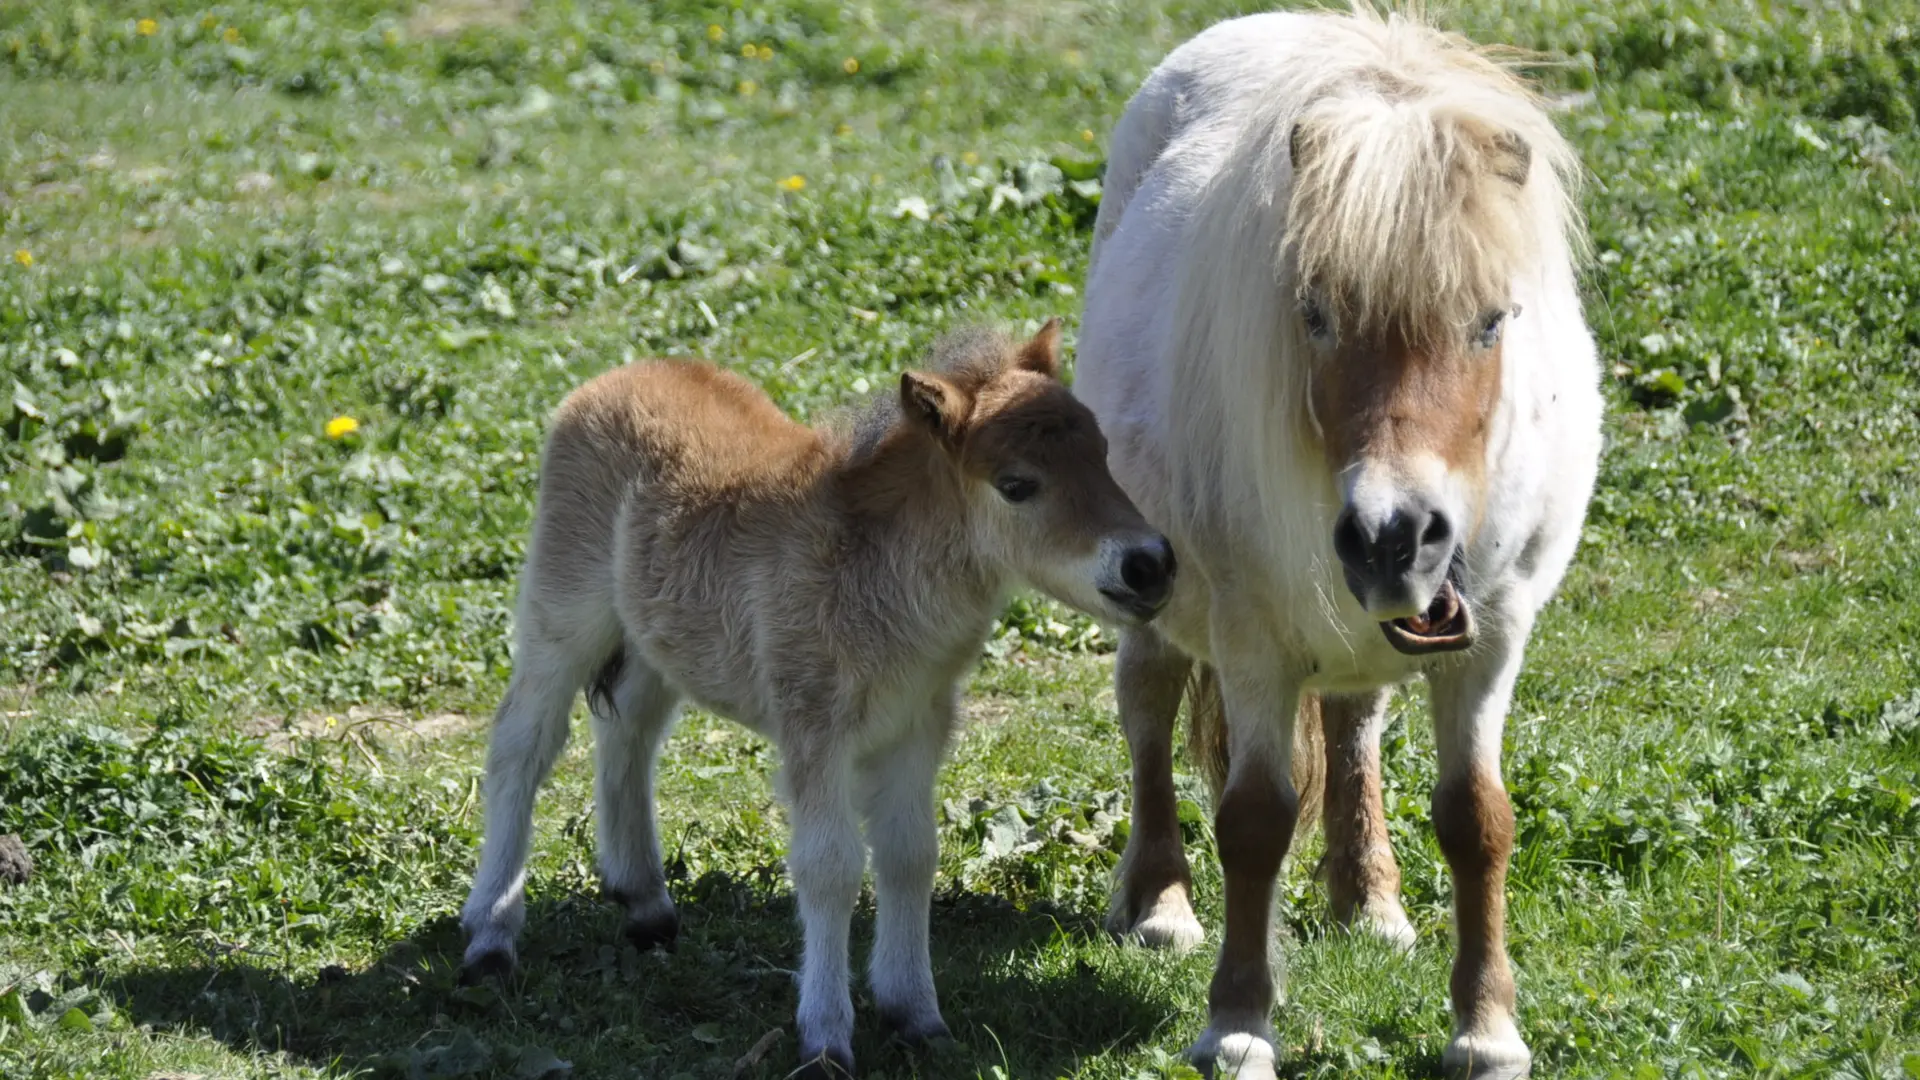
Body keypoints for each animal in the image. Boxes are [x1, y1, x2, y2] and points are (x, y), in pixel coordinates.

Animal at [1075, 8, 1597, 1076]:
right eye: (1314, 315)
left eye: (1492, 321)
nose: (1393, 534)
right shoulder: (1252, 646)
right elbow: (1254, 820)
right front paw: (1236, 1026)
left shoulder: (1491, 642)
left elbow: (1478, 819)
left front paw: (1487, 1032)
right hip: (1154, 593)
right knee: (1147, 705)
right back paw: (1159, 904)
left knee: (1356, 721)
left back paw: (1370, 903)